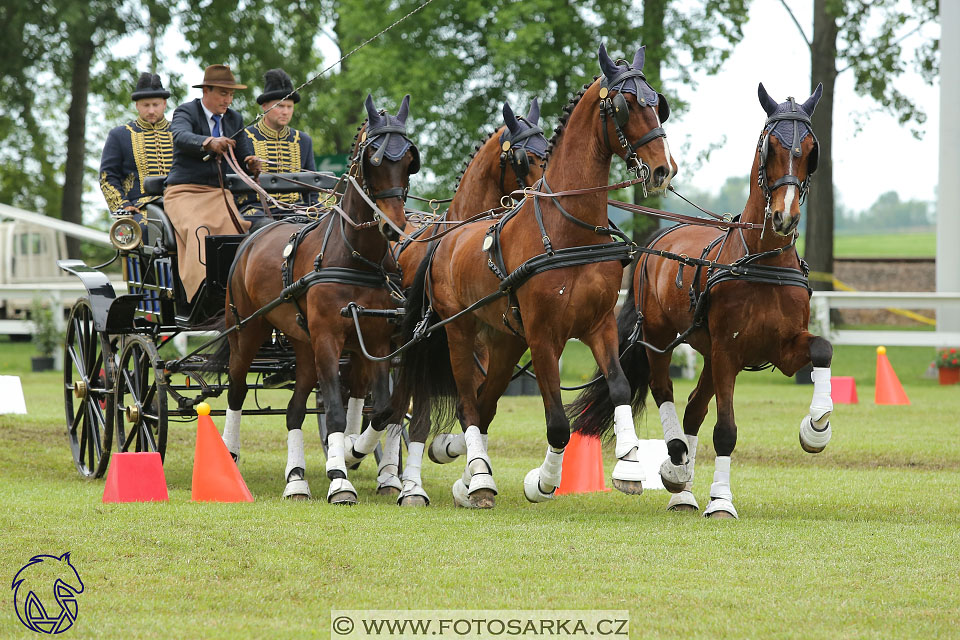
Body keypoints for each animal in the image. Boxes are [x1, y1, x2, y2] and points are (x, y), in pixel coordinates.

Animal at [219, 94, 418, 504]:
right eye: (373, 158)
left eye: (409, 159)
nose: (394, 227)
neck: (355, 256)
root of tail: (256, 232)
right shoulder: (329, 337)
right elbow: (339, 413)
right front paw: (340, 478)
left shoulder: (376, 340)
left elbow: (384, 409)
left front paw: (353, 452)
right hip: (247, 330)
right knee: (237, 388)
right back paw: (230, 454)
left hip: (302, 344)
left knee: (294, 410)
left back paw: (296, 480)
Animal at [344, 99, 548, 504]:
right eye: (524, 159)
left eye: (548, 150)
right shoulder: (431, 341)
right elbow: (419, 413)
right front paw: (415, 481)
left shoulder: (480, 346)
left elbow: (479, 407)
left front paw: (451, 457)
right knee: (384, 398)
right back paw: (363, 453)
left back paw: (387, 470)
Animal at [390, 42, 676, 508]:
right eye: (625, 105)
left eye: (658, 105)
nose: (664, 169)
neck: (569, 230)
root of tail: (444, 239)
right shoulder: (544, 335)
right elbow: (557, 421)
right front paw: (541, 481)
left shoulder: (598, 325)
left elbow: (617, 387)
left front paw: (630, 466)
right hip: (459, 332)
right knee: (467, 404)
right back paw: (478, 479)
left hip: (505, 341)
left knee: (484, 404)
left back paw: (468, 479)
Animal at [568, 82, 832, 516]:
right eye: (770, 146)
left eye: (811, 150)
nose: (785, 217)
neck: (762, 261)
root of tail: (660, 239)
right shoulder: (728, 351)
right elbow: (725, 430)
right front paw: (720, 500)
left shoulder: (782, 348)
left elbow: (823, 349)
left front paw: (816, 428)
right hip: (661, 339)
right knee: (665, 391)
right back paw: (677, 463)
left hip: (709, 352)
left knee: (693, 405)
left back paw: (682, 484)